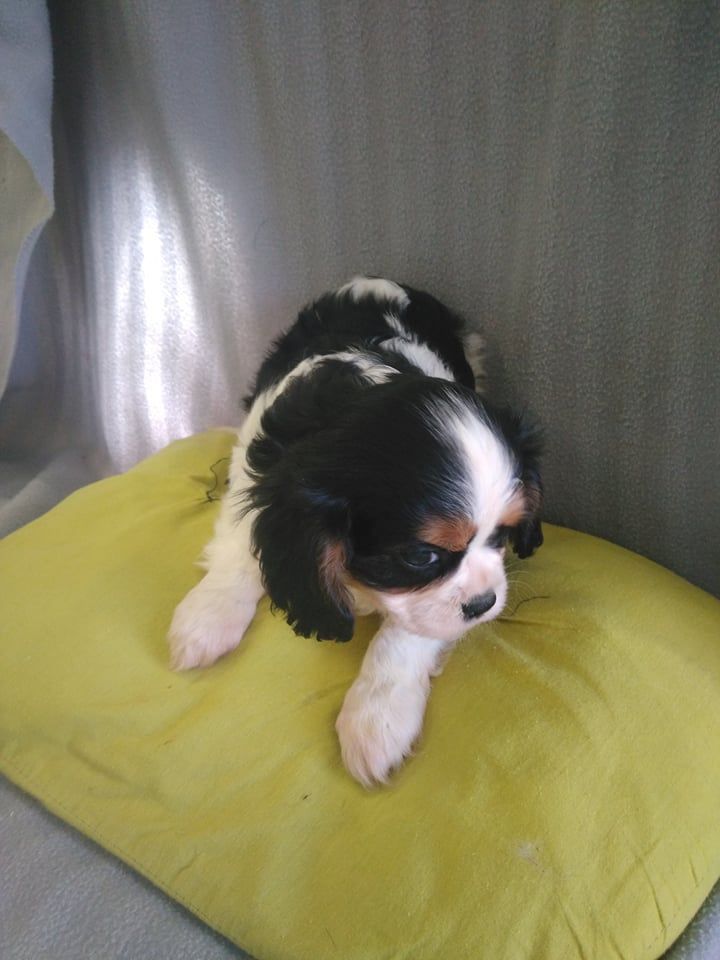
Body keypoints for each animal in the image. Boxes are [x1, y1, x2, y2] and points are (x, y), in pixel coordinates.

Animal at [168, 277, 543, 786]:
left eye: (503, 536)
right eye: (422, 557)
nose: (485, 603)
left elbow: (407, 632)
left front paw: (376, 719)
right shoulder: (254, 469)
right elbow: (238, 543)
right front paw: (208, 616)